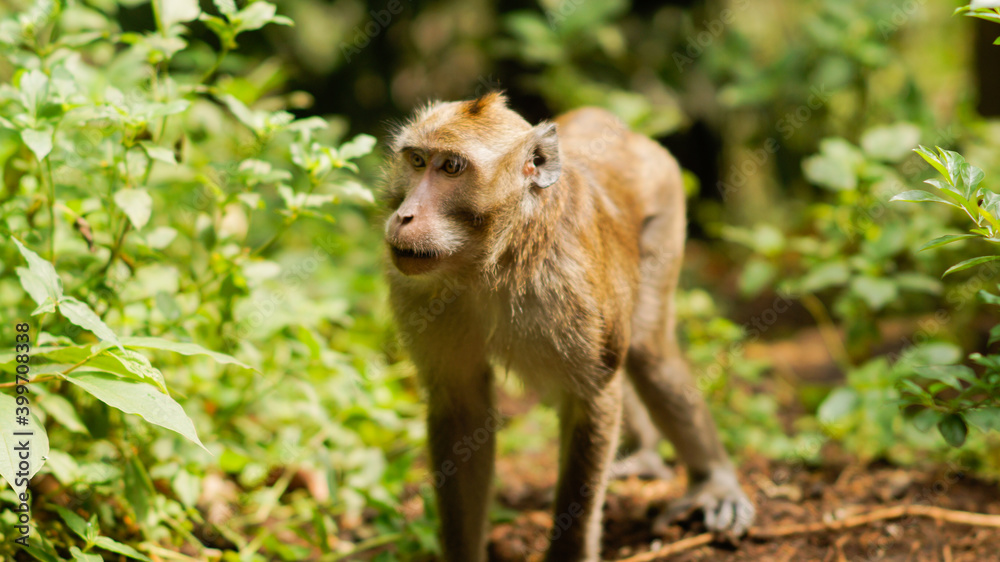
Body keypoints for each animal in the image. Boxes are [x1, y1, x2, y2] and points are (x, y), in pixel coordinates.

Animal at [382, 92, 754, 562]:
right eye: (416, 161)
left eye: (450, 167)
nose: (405, 216)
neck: (494, 259)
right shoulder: (417, 291)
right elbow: (463, 407)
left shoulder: (572, 284)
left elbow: (591, 399)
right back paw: (643, 454)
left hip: (665, 203)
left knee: (648, 351)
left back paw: (712, 483)